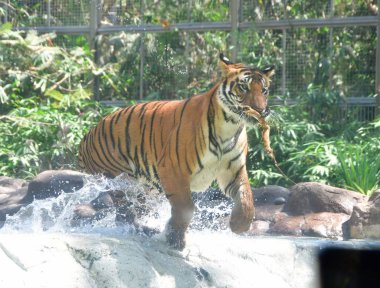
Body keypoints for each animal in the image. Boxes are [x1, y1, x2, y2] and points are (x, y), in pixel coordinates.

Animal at [78, 54, 274, 250]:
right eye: (243, 87)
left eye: (264, 90)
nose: (260, 110)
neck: (230, 125)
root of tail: (86, 137)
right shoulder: (172, 168)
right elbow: (185, 207)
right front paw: (175, 237)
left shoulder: (233, 170)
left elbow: (246, 198)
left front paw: (239, 225)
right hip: (118, 180)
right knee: (123, 213)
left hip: (146, 185)